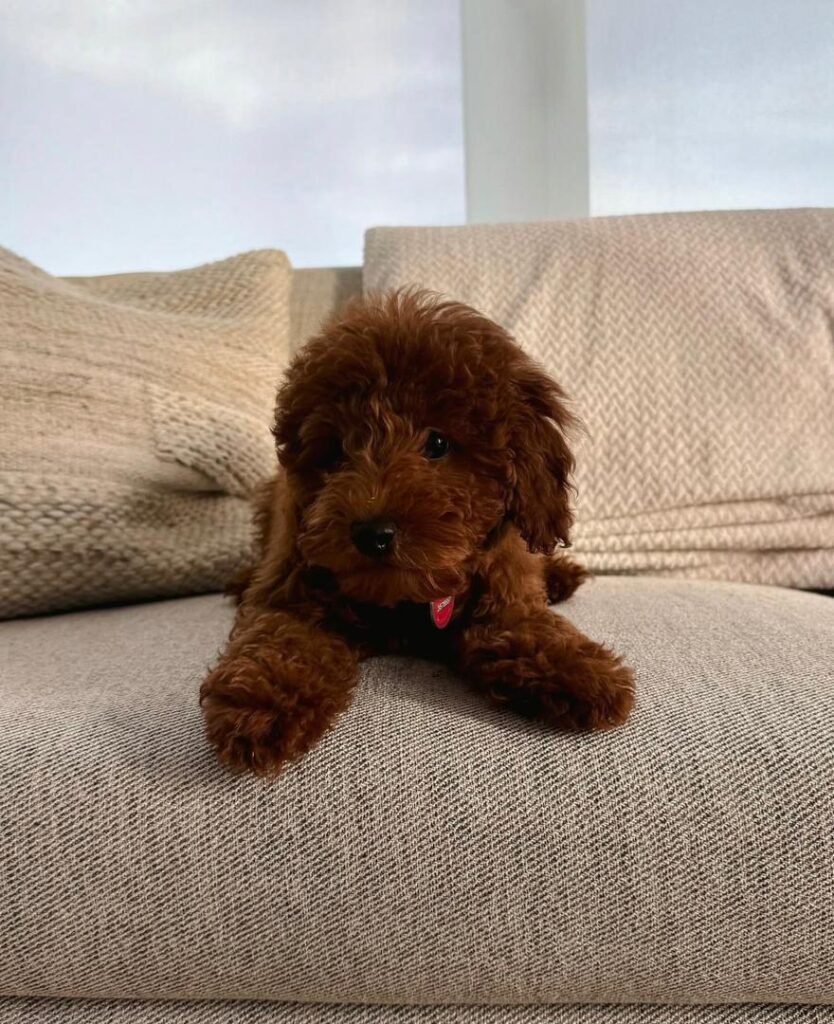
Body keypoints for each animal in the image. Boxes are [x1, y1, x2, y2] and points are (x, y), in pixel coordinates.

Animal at [200, 290, 635, 776]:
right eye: (336, 452)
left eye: (438, 443)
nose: (374, 533)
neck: (407, 599)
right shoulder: (291, 584)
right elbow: (283, 638)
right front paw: (259, 702)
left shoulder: (505, 591)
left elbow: (526, 626)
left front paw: (580, 670)